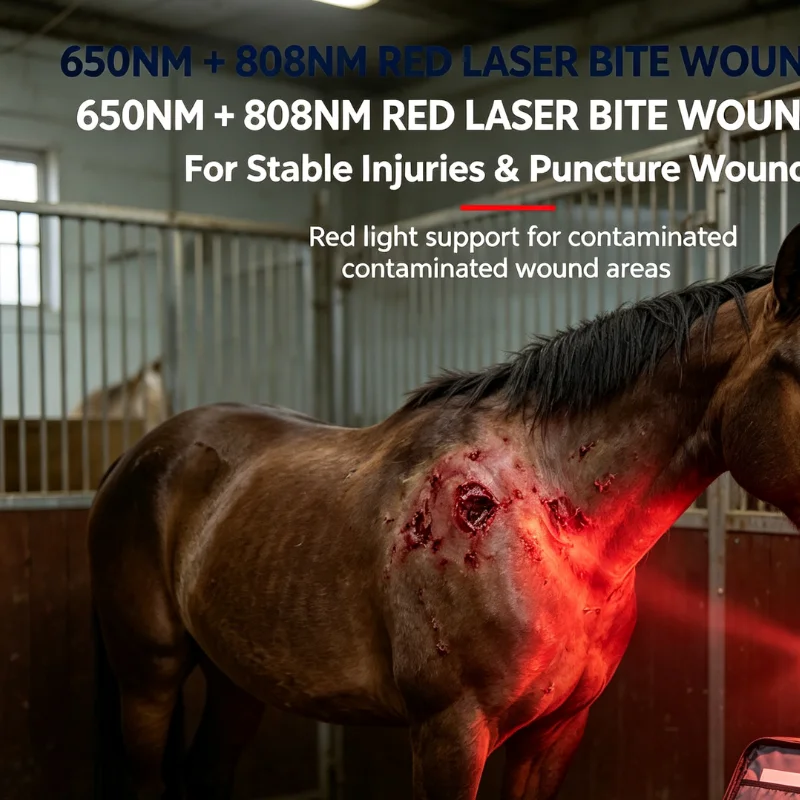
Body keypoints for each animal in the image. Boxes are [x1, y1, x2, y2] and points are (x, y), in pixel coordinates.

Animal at [88, 223, 800, 800]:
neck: (552, 512)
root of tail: (135, 456)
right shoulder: (450, 733)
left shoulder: (557, 734)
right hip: (149, 675)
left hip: (237, 676)